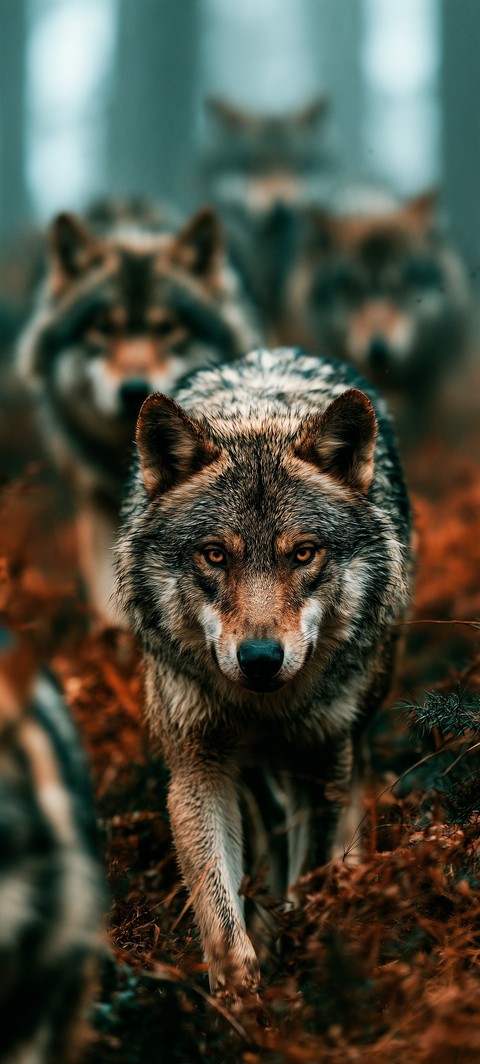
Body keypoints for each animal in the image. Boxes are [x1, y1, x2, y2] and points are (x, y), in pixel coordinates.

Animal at [116, 346, 412, 999]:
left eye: (302, 553)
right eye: (214, 554)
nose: (258, 658)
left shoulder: (321, 759)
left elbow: (311, 867)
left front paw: (303, 954)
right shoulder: (197, 766)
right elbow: (222, 919)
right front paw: (241, 1000)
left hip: (353, 727)